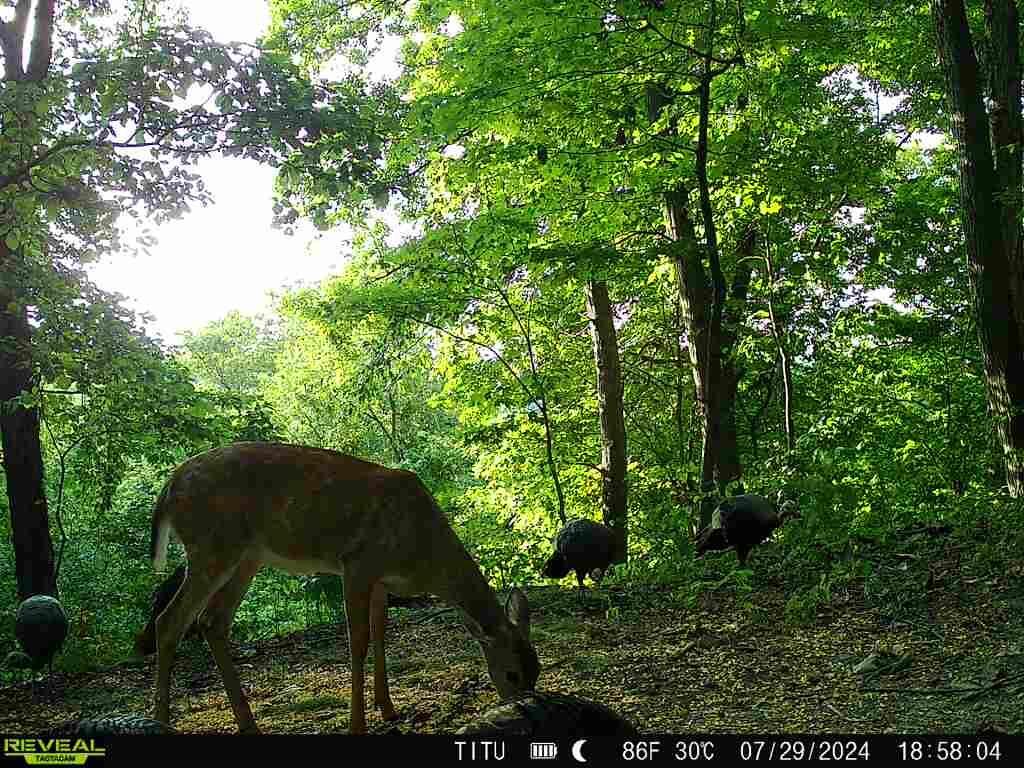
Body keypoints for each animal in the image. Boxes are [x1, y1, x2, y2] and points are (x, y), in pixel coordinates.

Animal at [149, 438, 544, 733]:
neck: (423, 554)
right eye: (511, 673)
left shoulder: (382, 579)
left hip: (247, 557)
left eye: (537, 668)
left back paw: (248, 724)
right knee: (170, 621)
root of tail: (167, 489)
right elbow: (358, 642)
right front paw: (359, 724)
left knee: (211, 621)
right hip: (213, 545)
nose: (525, 707)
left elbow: (382, 633)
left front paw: (388, 707)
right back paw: (162, 722)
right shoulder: (357, 563)